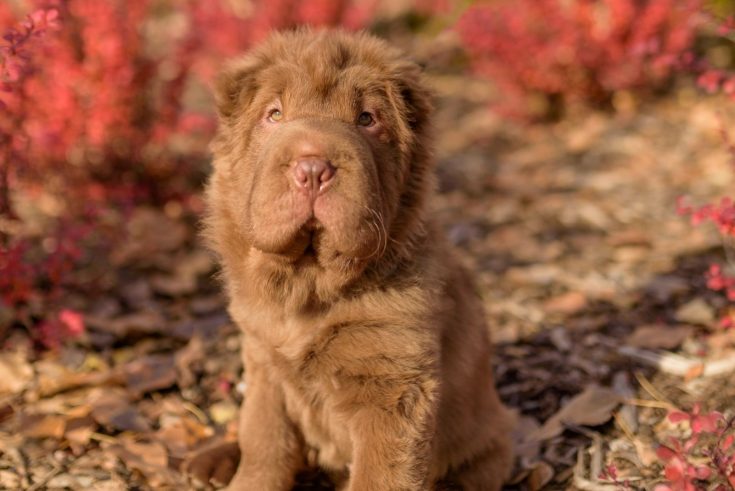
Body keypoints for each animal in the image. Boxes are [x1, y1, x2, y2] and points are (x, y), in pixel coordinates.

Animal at [187, 28, 516, 490]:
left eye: (367, 119)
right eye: (274, 114)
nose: (312, 168)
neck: (309, 285)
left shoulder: (395, 385)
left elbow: (380, 474)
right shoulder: (263, 361)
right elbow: (263, 440)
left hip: (488, 439)